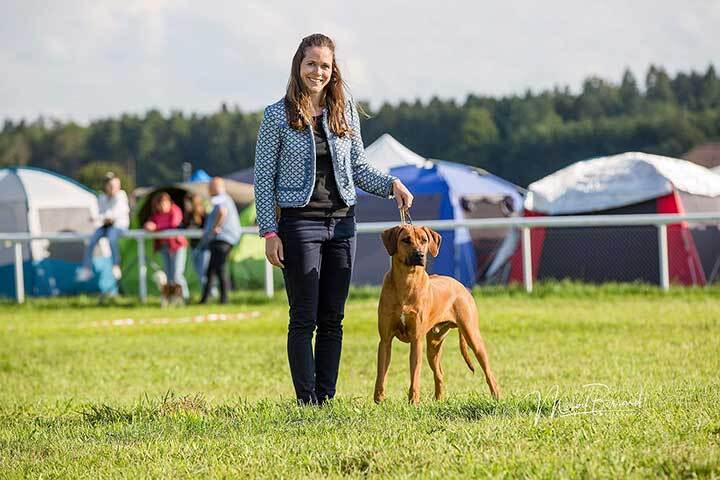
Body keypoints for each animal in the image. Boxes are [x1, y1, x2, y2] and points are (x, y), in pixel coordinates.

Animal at [374, 223, 498, 404]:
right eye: (405, 240)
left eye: (424, 240)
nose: (420, 255)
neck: (406, 281)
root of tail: (461, 285)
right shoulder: (385, 340)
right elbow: (381, 375)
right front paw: (379, 401)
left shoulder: (416, 340)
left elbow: (415, 375)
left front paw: (413, 402)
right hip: (433, 344)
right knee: (439, 374)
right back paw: (439, 401)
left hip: (472, 336)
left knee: (489, 373)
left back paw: (497, 398)